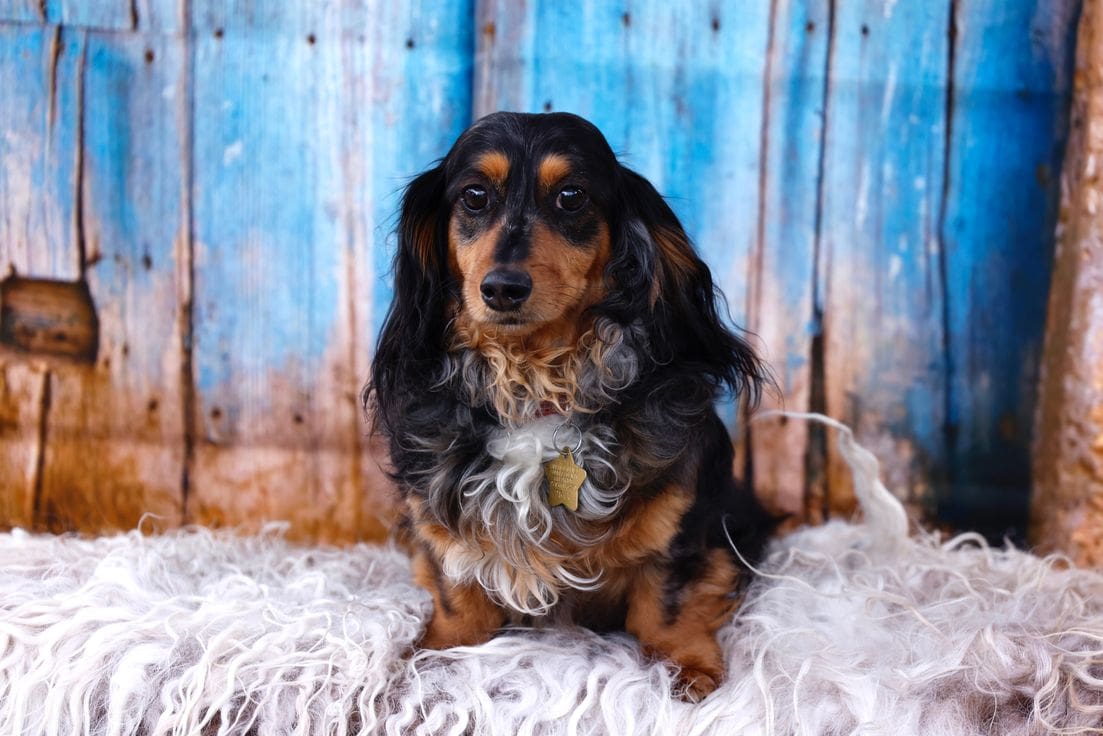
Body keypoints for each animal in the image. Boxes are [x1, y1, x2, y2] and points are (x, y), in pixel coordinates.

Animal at [370, 112, 776, 701]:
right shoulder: (436, 514)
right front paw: (438, 655)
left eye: (570, 196)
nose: (502, 288)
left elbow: (666, 596)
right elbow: (454, 588)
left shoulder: (680, 515)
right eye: (474, 196)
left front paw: (685, 665)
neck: (534, 392)